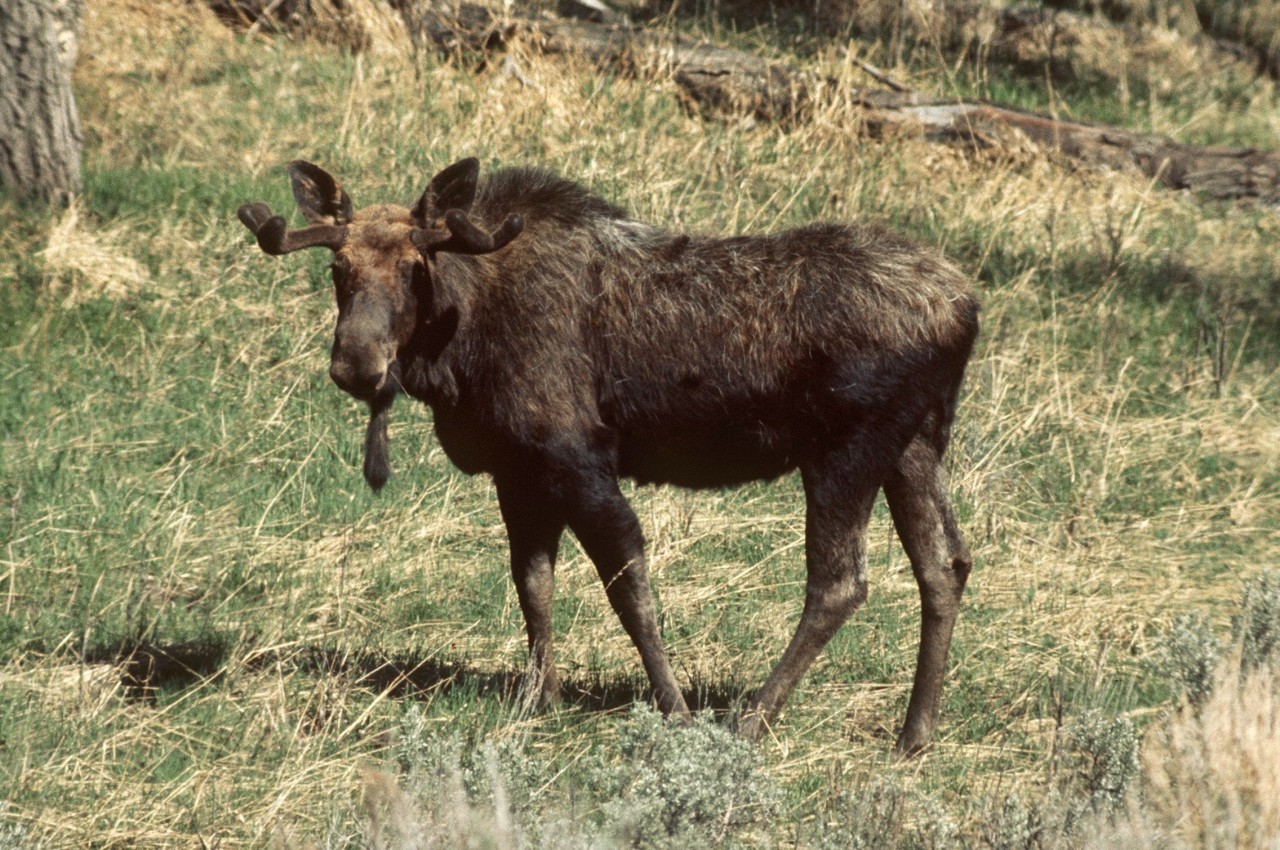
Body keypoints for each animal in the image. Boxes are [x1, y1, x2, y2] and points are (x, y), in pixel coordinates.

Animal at [238, 156, 977, 752]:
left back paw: (751, 720)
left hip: (846, 450)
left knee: (840, 582)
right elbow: (533, 585)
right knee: (944, 566)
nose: (356, 365)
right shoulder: (519, 471)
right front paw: (537, 700)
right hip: (913, 446)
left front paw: (674, 710)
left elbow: (630, 592)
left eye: (414, 268)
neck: (461, 343)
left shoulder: (578, 458)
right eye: (338, 268)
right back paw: (915, 732)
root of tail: (968, 307)